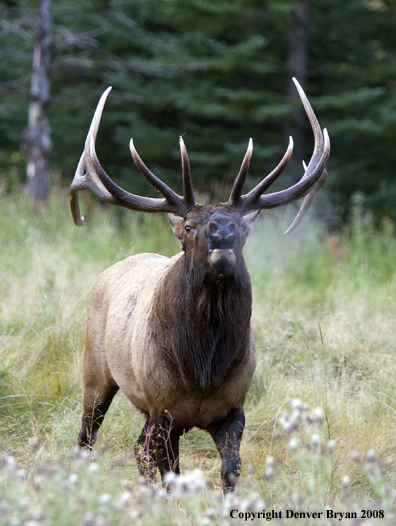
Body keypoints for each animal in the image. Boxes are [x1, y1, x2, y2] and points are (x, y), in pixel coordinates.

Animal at [69, 79, 330, 496]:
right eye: (190, 227)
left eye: (242, 227)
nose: (222, 231)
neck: (203, 369)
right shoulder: (162, 408)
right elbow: (169, 475)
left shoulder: (233, 408)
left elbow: (230, 472)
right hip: (95, 368)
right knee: (88, 434)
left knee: (137, 447)